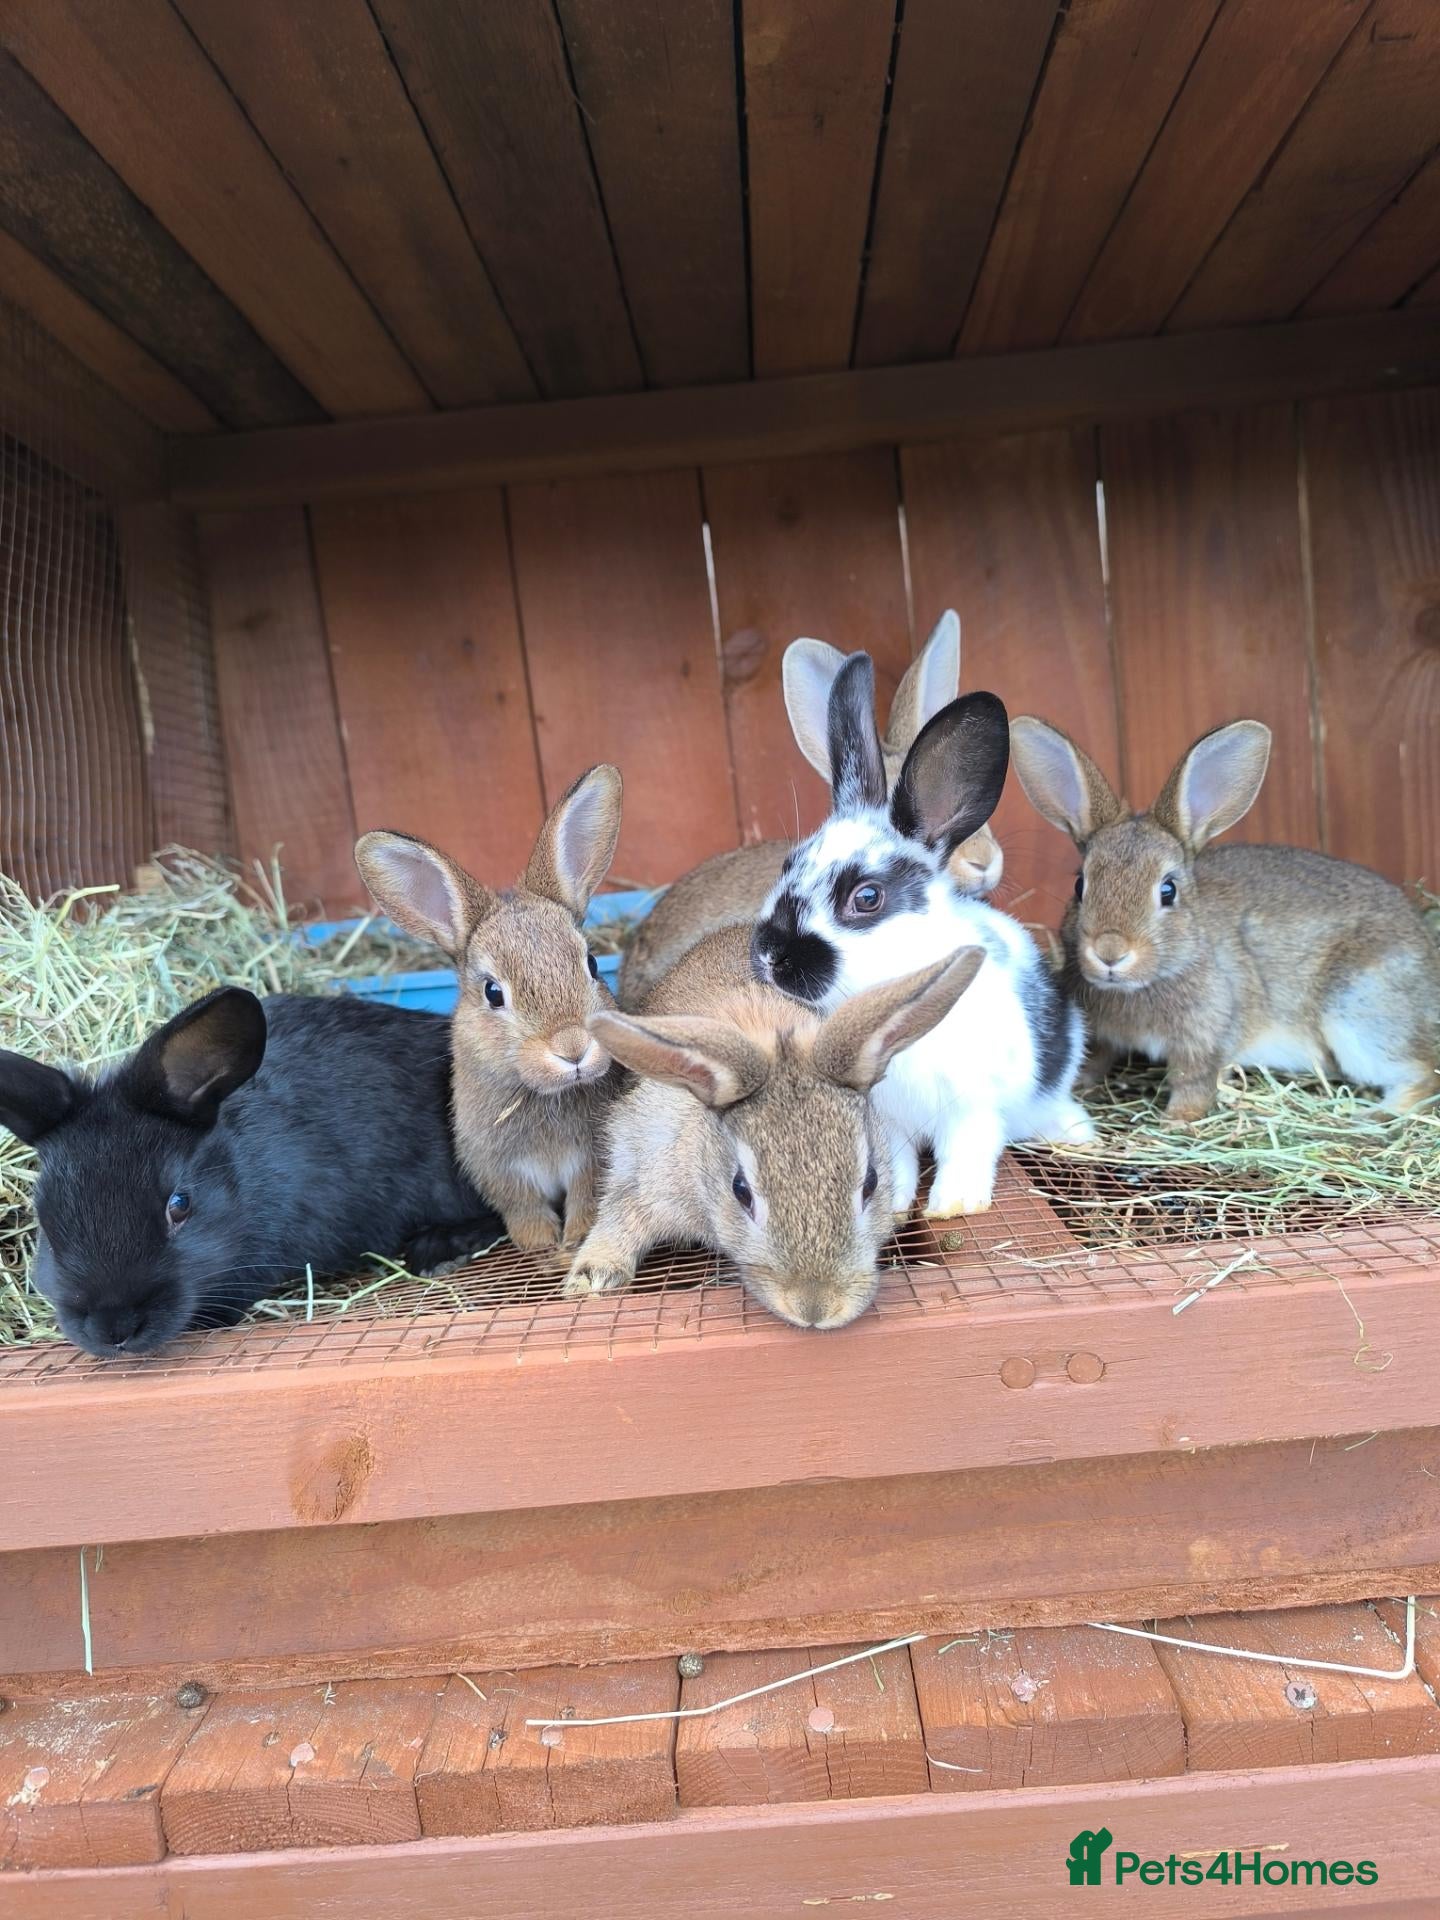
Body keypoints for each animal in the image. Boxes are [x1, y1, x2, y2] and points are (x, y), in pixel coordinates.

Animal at [355, 766, 623, 1253]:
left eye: (592, 964)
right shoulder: (498, 1170)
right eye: (493, 992)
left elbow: (584, 1200)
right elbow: (524, 1210)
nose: (573, 1047)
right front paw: (540, 1247)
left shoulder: (591, 1160)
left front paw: (573, 1241)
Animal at [564, 923, 984, 1328]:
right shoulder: (641, 1165)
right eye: (741, 1190)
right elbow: (622, 1214)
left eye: (871, 1182)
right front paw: (590, 1279)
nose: (815, 1308)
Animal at [750, 653, 1093, 1219]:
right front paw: (893, 1207)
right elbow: (897, 1162)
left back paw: (1078, 1132)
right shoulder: (886, 1121)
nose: (771, 957)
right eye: (787, 864)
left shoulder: (973, 1107)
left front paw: (954, 1205)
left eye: (867, 898)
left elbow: (967, 1152)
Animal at [1008, 715, 1440, 1121]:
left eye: (1168, 890)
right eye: (1080, 885)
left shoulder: (1206, 1037)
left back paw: (1374, 1116)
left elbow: (1194, 1081)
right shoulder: (1101, 1035)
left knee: (1422, 1075)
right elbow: (1092, 1057)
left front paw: (1177, 1120)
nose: (1110, 951)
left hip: (1360, 1018)